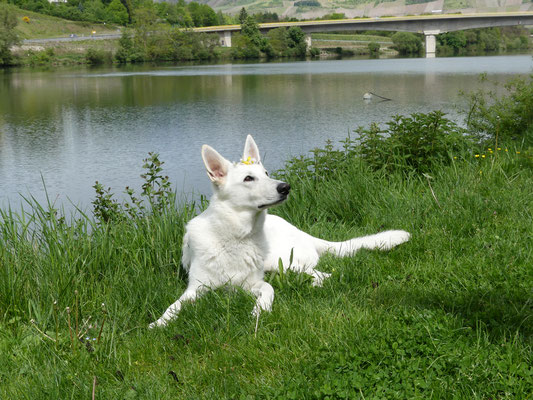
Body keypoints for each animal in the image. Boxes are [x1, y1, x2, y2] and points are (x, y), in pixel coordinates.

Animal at [148, 135, 410, 328]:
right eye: (248, 178)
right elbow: (174, 306)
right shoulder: (195, 289)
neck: (235, 237)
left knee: (322, 274)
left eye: (266, 174)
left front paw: (260, 310)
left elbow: (268, 289)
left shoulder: (253, 283)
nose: (286, 187)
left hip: (281, 262)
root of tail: (303, 232)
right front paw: (159, 323)